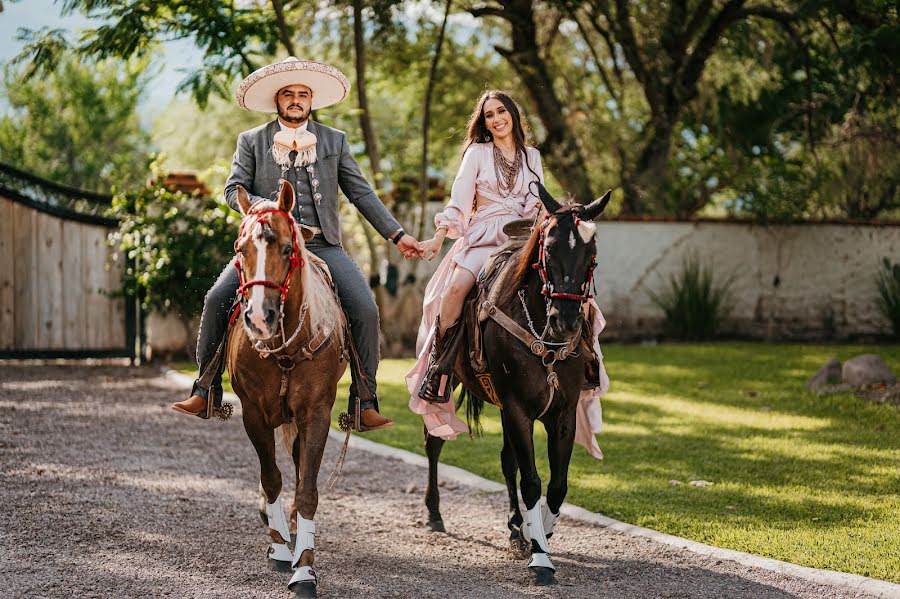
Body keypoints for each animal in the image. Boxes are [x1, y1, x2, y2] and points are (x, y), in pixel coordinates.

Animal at [227, 183, 346, 599]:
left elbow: (306, 487)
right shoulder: (253, 414)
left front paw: (304, 568)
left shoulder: (316, 414)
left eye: (285, 249)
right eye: (240, 248)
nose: (259, 319)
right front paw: (280, 548)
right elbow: (272, 478)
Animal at [424, 182, 612, 584]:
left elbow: (555, 486)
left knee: (507, 460)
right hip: (446, 388)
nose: (566, 321)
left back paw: (515, 526)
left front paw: (535, 531)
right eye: (549, 247)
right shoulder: (517, 409)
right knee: (434, 443)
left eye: (591, 253)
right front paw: (540, 557)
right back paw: (434, 513)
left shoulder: (562, 414)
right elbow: (532, 482)